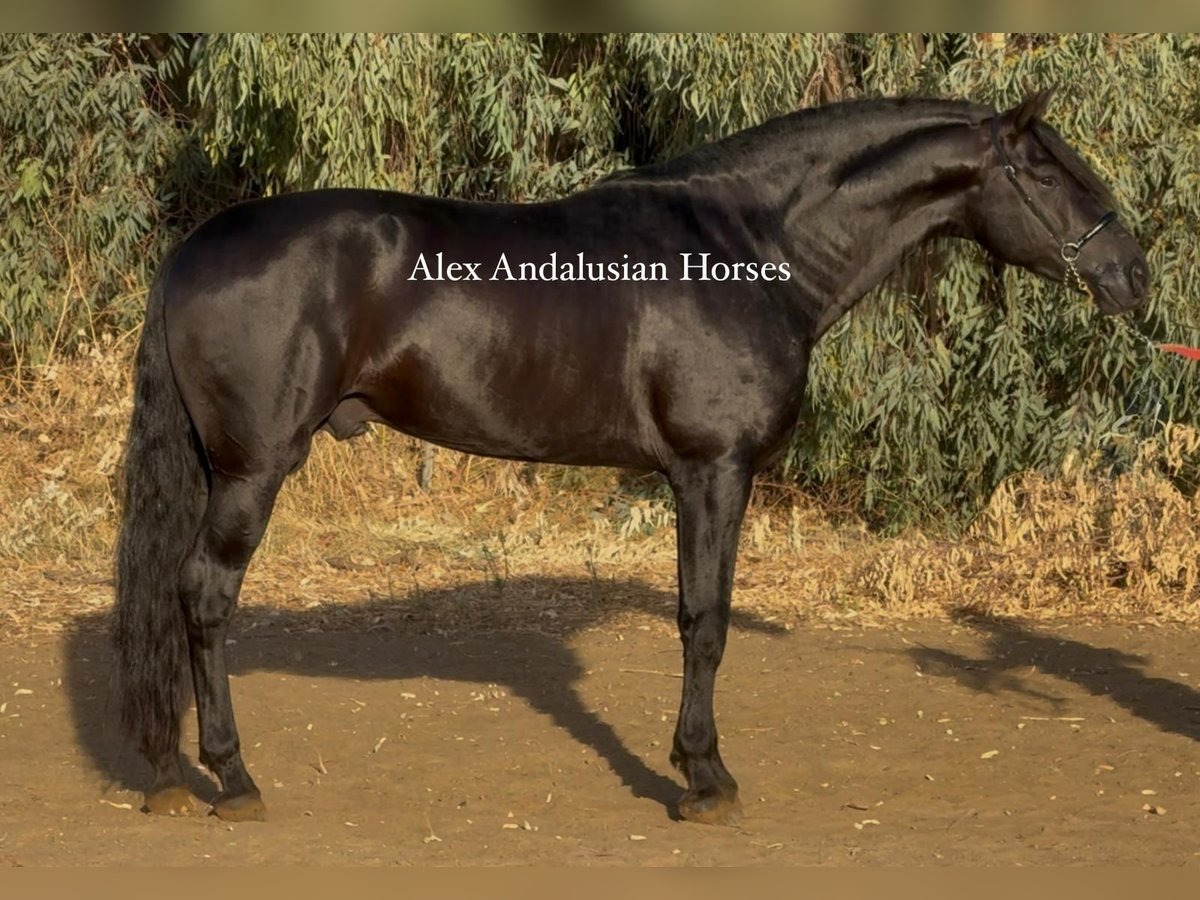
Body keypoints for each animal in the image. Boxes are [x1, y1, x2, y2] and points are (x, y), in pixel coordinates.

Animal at [113, 88, 1149, 826]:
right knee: (204, 594)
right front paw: (705, 777)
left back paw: (165, 774)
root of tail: (194, 249)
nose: (1135, 274)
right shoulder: (712, 470)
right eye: (1047, 175)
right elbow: (705, 621)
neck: (751, 246)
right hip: (252, 470)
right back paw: (233, 778)